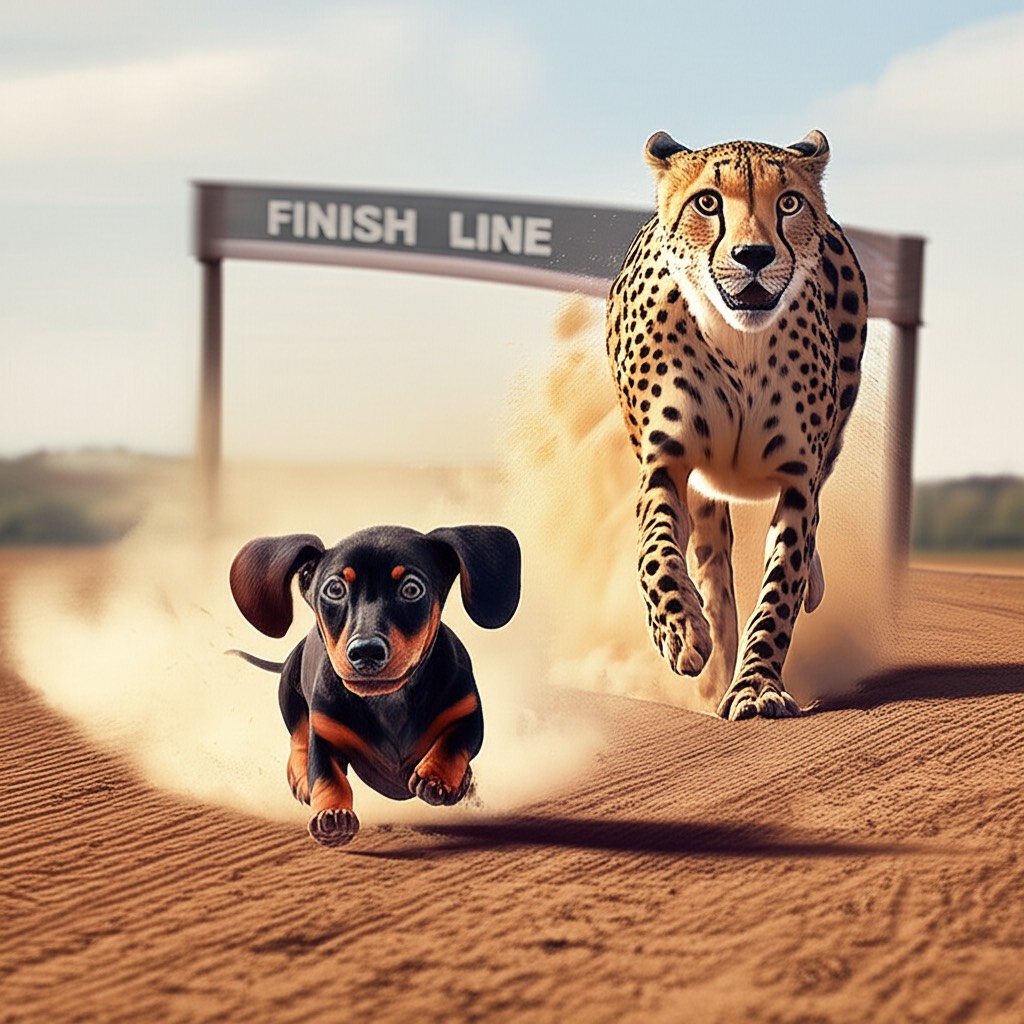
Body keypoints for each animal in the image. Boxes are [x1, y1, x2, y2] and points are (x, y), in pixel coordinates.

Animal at [605, 129, 868, 719]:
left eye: (788, 203)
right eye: (708, 202)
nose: (754, 255)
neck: (739, 343)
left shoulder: (798, 482)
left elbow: (781, 586)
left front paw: (757, 687)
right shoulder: (665, 464)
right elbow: (656, 553)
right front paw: (681, 630)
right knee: (711, 559)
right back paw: (713, 651)